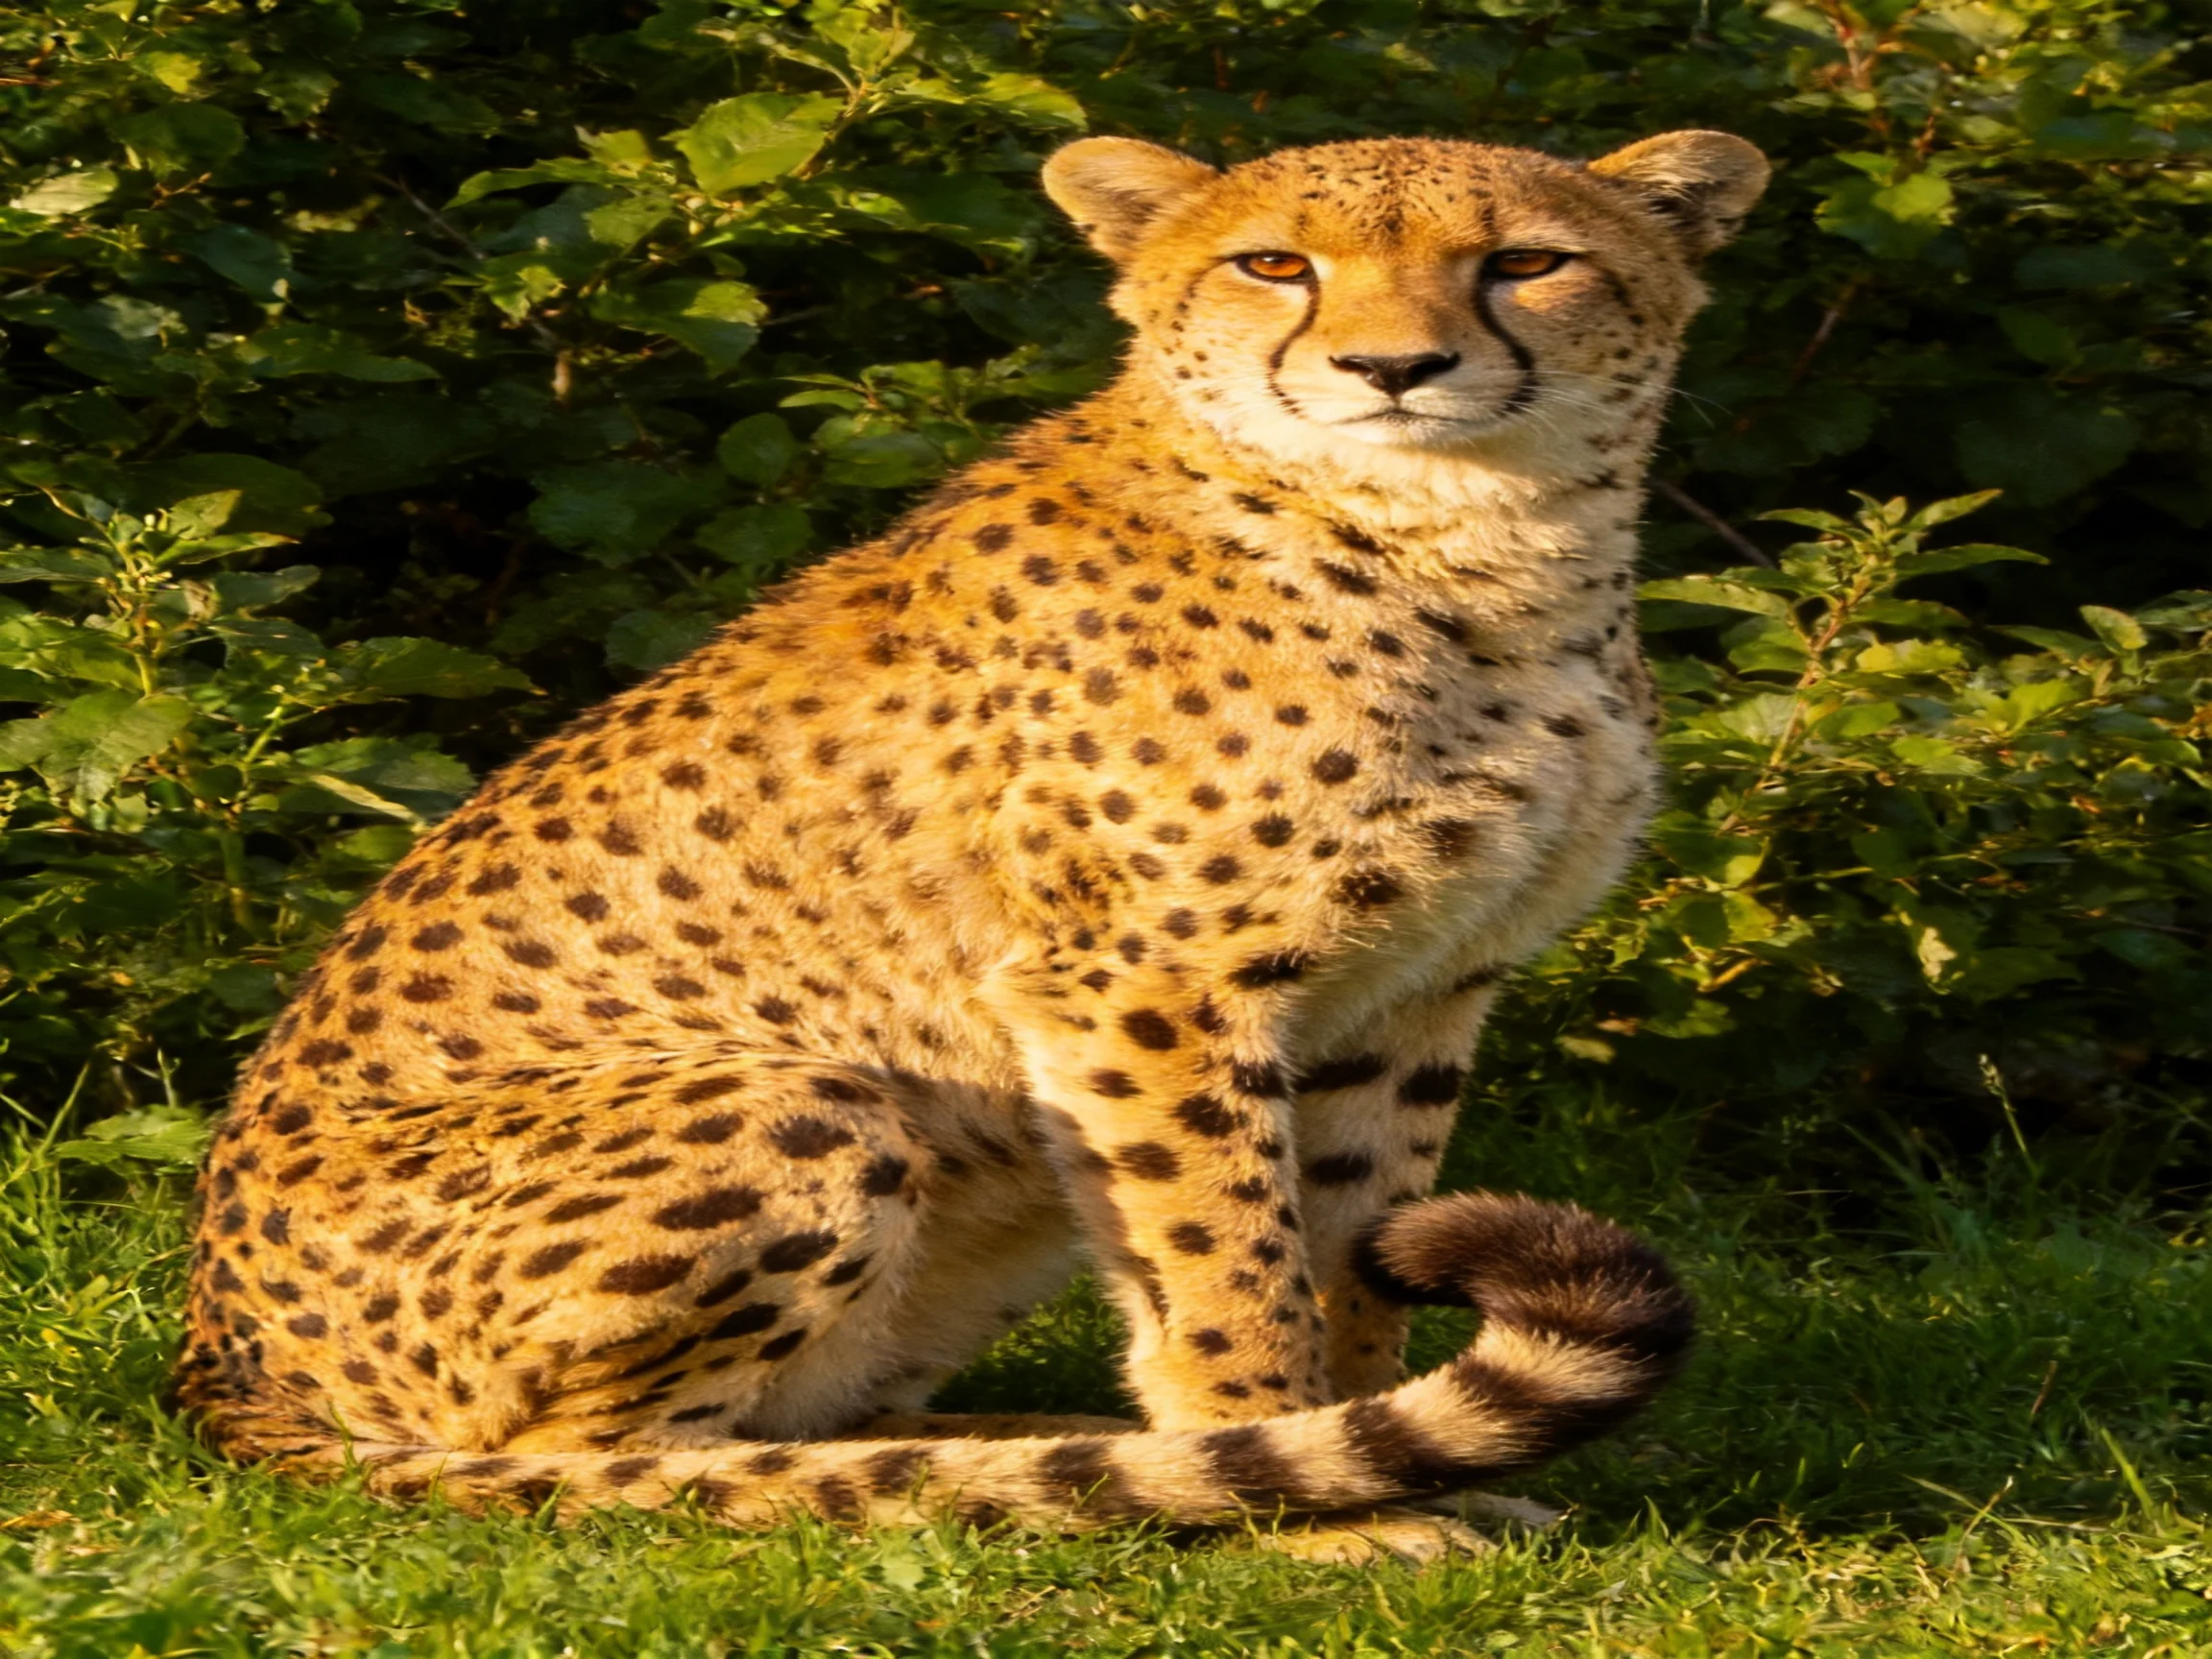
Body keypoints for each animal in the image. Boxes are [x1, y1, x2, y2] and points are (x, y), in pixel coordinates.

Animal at [173, 126, 1768, 1557]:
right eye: (1273, 264)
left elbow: (1349, 1243)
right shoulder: (1145, 987)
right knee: (613, 1465)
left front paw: (1375, 1454)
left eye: (1525, 264)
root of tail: (214, 1358)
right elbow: (1231, 1261)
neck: (1483, 543)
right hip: (805, 1101)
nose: (1393, 370)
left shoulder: (1418, 987)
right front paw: (1304, 1503)